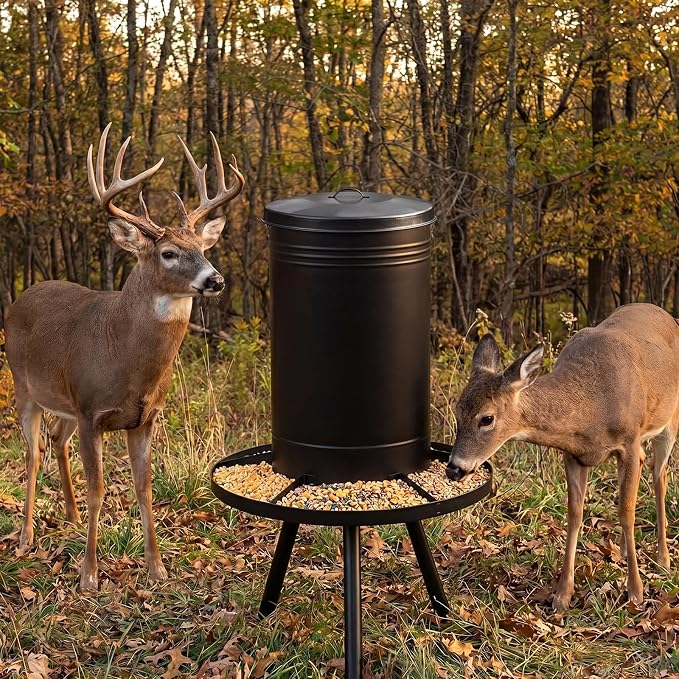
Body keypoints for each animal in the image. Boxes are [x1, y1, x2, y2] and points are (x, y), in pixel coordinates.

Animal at [5, 123, 244, 590]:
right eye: (168, 253)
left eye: (203, 248)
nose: (216, 279)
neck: (126, 360)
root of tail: (25, 293)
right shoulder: (91, 412)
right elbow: (99, 491)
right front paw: (89, 575)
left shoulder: (144, 417)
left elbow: (144, 488)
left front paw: (157, 567)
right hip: (24, 386)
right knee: (32, 452)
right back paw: (25, 536)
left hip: (64, 402)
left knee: (55, 440)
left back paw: (70, 515)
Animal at [446, 303, 679, 611]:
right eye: (457, 411)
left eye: (487, 418)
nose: (454, 468)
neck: (592, 408)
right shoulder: (573, 455)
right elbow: (575, 514)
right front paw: (562, 595)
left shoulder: (629, 443)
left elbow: (627, 513)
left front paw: (636, 591)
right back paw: (622, 550)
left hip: (669, 422)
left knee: (660, 475)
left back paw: (663, 559)